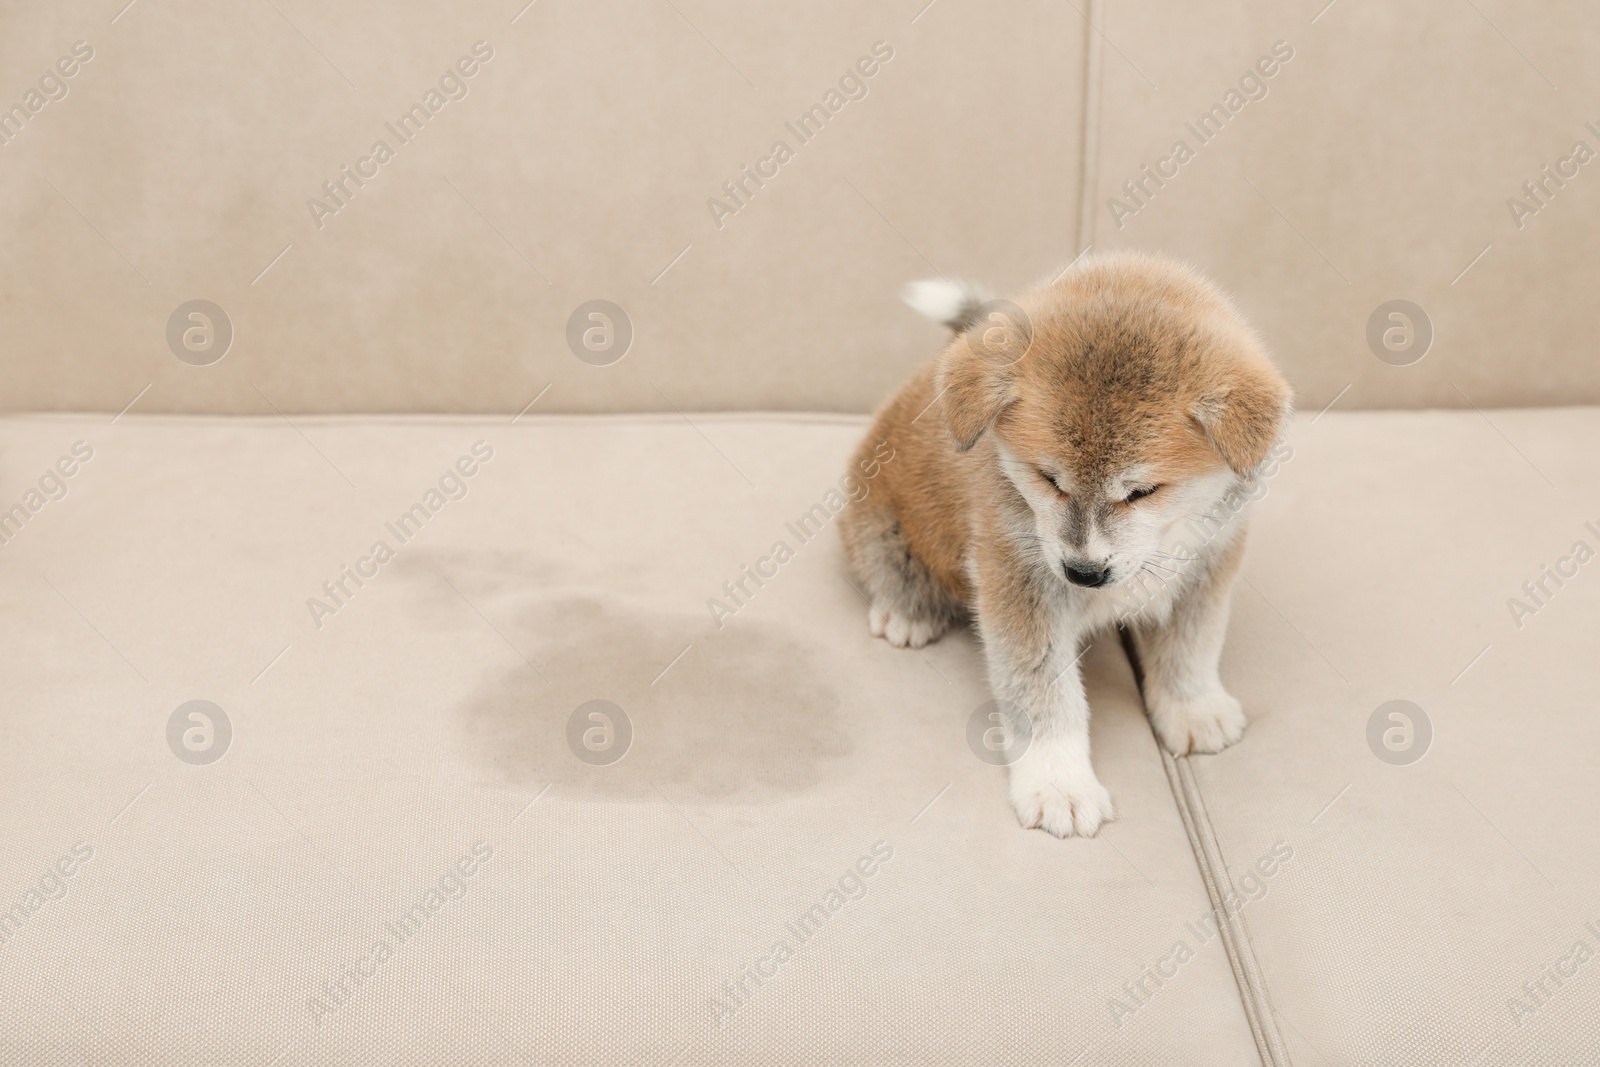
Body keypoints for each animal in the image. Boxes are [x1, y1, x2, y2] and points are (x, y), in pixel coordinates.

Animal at [844, 254, 1292, 838]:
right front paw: (1058, 783)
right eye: (1047, 478)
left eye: (1143, 491)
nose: (1083, 573)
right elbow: (1043, 698)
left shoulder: (1209, 563)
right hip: (880, 531)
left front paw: (1191, 707)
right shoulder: (1020, 585)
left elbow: (1191, 647)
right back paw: (906, 609)